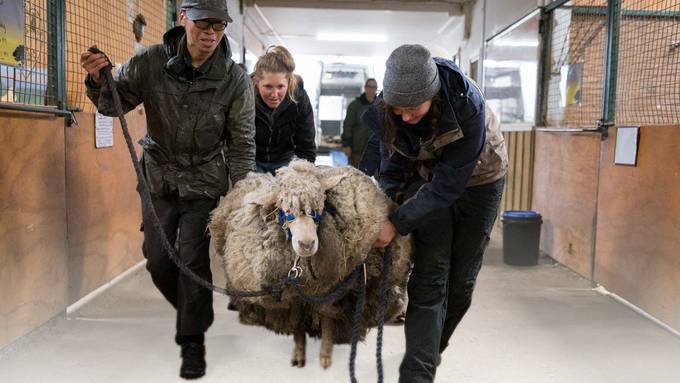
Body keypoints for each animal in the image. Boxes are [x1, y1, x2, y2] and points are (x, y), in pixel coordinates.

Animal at [207, 160, 412, 370]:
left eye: (320, 205)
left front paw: (326, 352)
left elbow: (327, 318)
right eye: (284, 209)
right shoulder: (294, 294)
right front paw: (299, 351)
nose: (307, 244)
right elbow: (298, 321)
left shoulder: (329, 290)